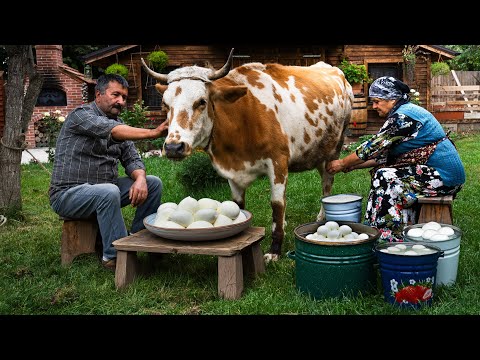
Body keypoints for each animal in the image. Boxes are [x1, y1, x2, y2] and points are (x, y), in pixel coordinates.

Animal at [141, 48, 354, 262]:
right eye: (165, 104)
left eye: (201, 101)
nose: (173, 147)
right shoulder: (232, 172)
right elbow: (238, 205)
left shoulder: (278, 163)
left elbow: (277, 204)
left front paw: (275, 249)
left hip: (334, 150)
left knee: (327, 183)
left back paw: (322, 216)